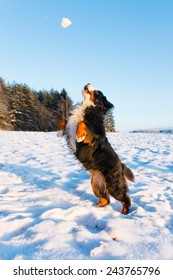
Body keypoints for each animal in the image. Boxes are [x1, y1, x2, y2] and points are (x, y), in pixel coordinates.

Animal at [57, 83, 134, 214]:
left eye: (97, 92)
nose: (88, 83)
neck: (89, 108)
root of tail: (121, 166)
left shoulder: (93, 134)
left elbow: (82, 123)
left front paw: (79, 135)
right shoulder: (69, 125)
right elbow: (64, 120)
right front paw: (58, 131)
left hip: (113, 185)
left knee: (125, 199)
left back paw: (125, 212)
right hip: (96, 184)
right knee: (106, 199)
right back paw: (97, 206)